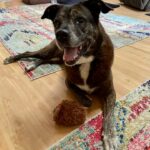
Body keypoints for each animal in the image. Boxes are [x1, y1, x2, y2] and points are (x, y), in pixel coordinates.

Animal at [3, 0, 119, 149]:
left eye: (80, 20)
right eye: (57, 22)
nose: (60, 34)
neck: (86, 61)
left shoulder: (110, 92)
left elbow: (110, 114)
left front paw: (110, 137)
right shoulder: (68, 82)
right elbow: (79, 93)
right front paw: (86, 99)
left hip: (57, 58)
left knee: (44, 59)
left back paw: (32, 64)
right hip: (51, 51)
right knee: (30, 53)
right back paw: (14, 59)